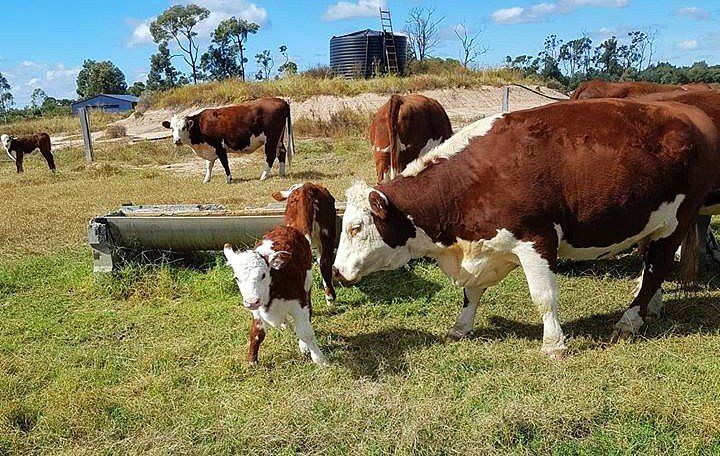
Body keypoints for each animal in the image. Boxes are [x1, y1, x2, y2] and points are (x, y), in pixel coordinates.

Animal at [162, 97, 295, 183]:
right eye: (172, 128)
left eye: (184, 127)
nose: (177, 140)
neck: (200, 125)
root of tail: (281, 100)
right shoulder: (209, 148)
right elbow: (209, 164)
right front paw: (206, 179)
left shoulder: (219, 146)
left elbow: (224, 163)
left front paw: (229, 179)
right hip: (279, 139)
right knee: (282, 152)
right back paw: (281, 173)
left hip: (271, 138)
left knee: (271, 155)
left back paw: (263, 176)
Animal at [224, 225, 327, 365]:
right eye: (237, 278)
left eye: (263, 275)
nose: (251, 301)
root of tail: (286, 227)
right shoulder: (257, 309)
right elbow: (257, 333)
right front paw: (252, 361)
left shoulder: (299, 303)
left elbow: (305, 332)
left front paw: (319, 358)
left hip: (307, 284)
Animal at [333, 99, 719, 358]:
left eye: (355, 228)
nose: (335, 271)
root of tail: (689, 113)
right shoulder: (483, 247)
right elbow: (471, 293)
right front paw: (461, 327)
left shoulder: (537, 240)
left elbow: (544, 296)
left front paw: (553, 344)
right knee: (651, 265)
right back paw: (649, 308)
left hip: (679, 219)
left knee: (657, 266)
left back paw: (629, 320)